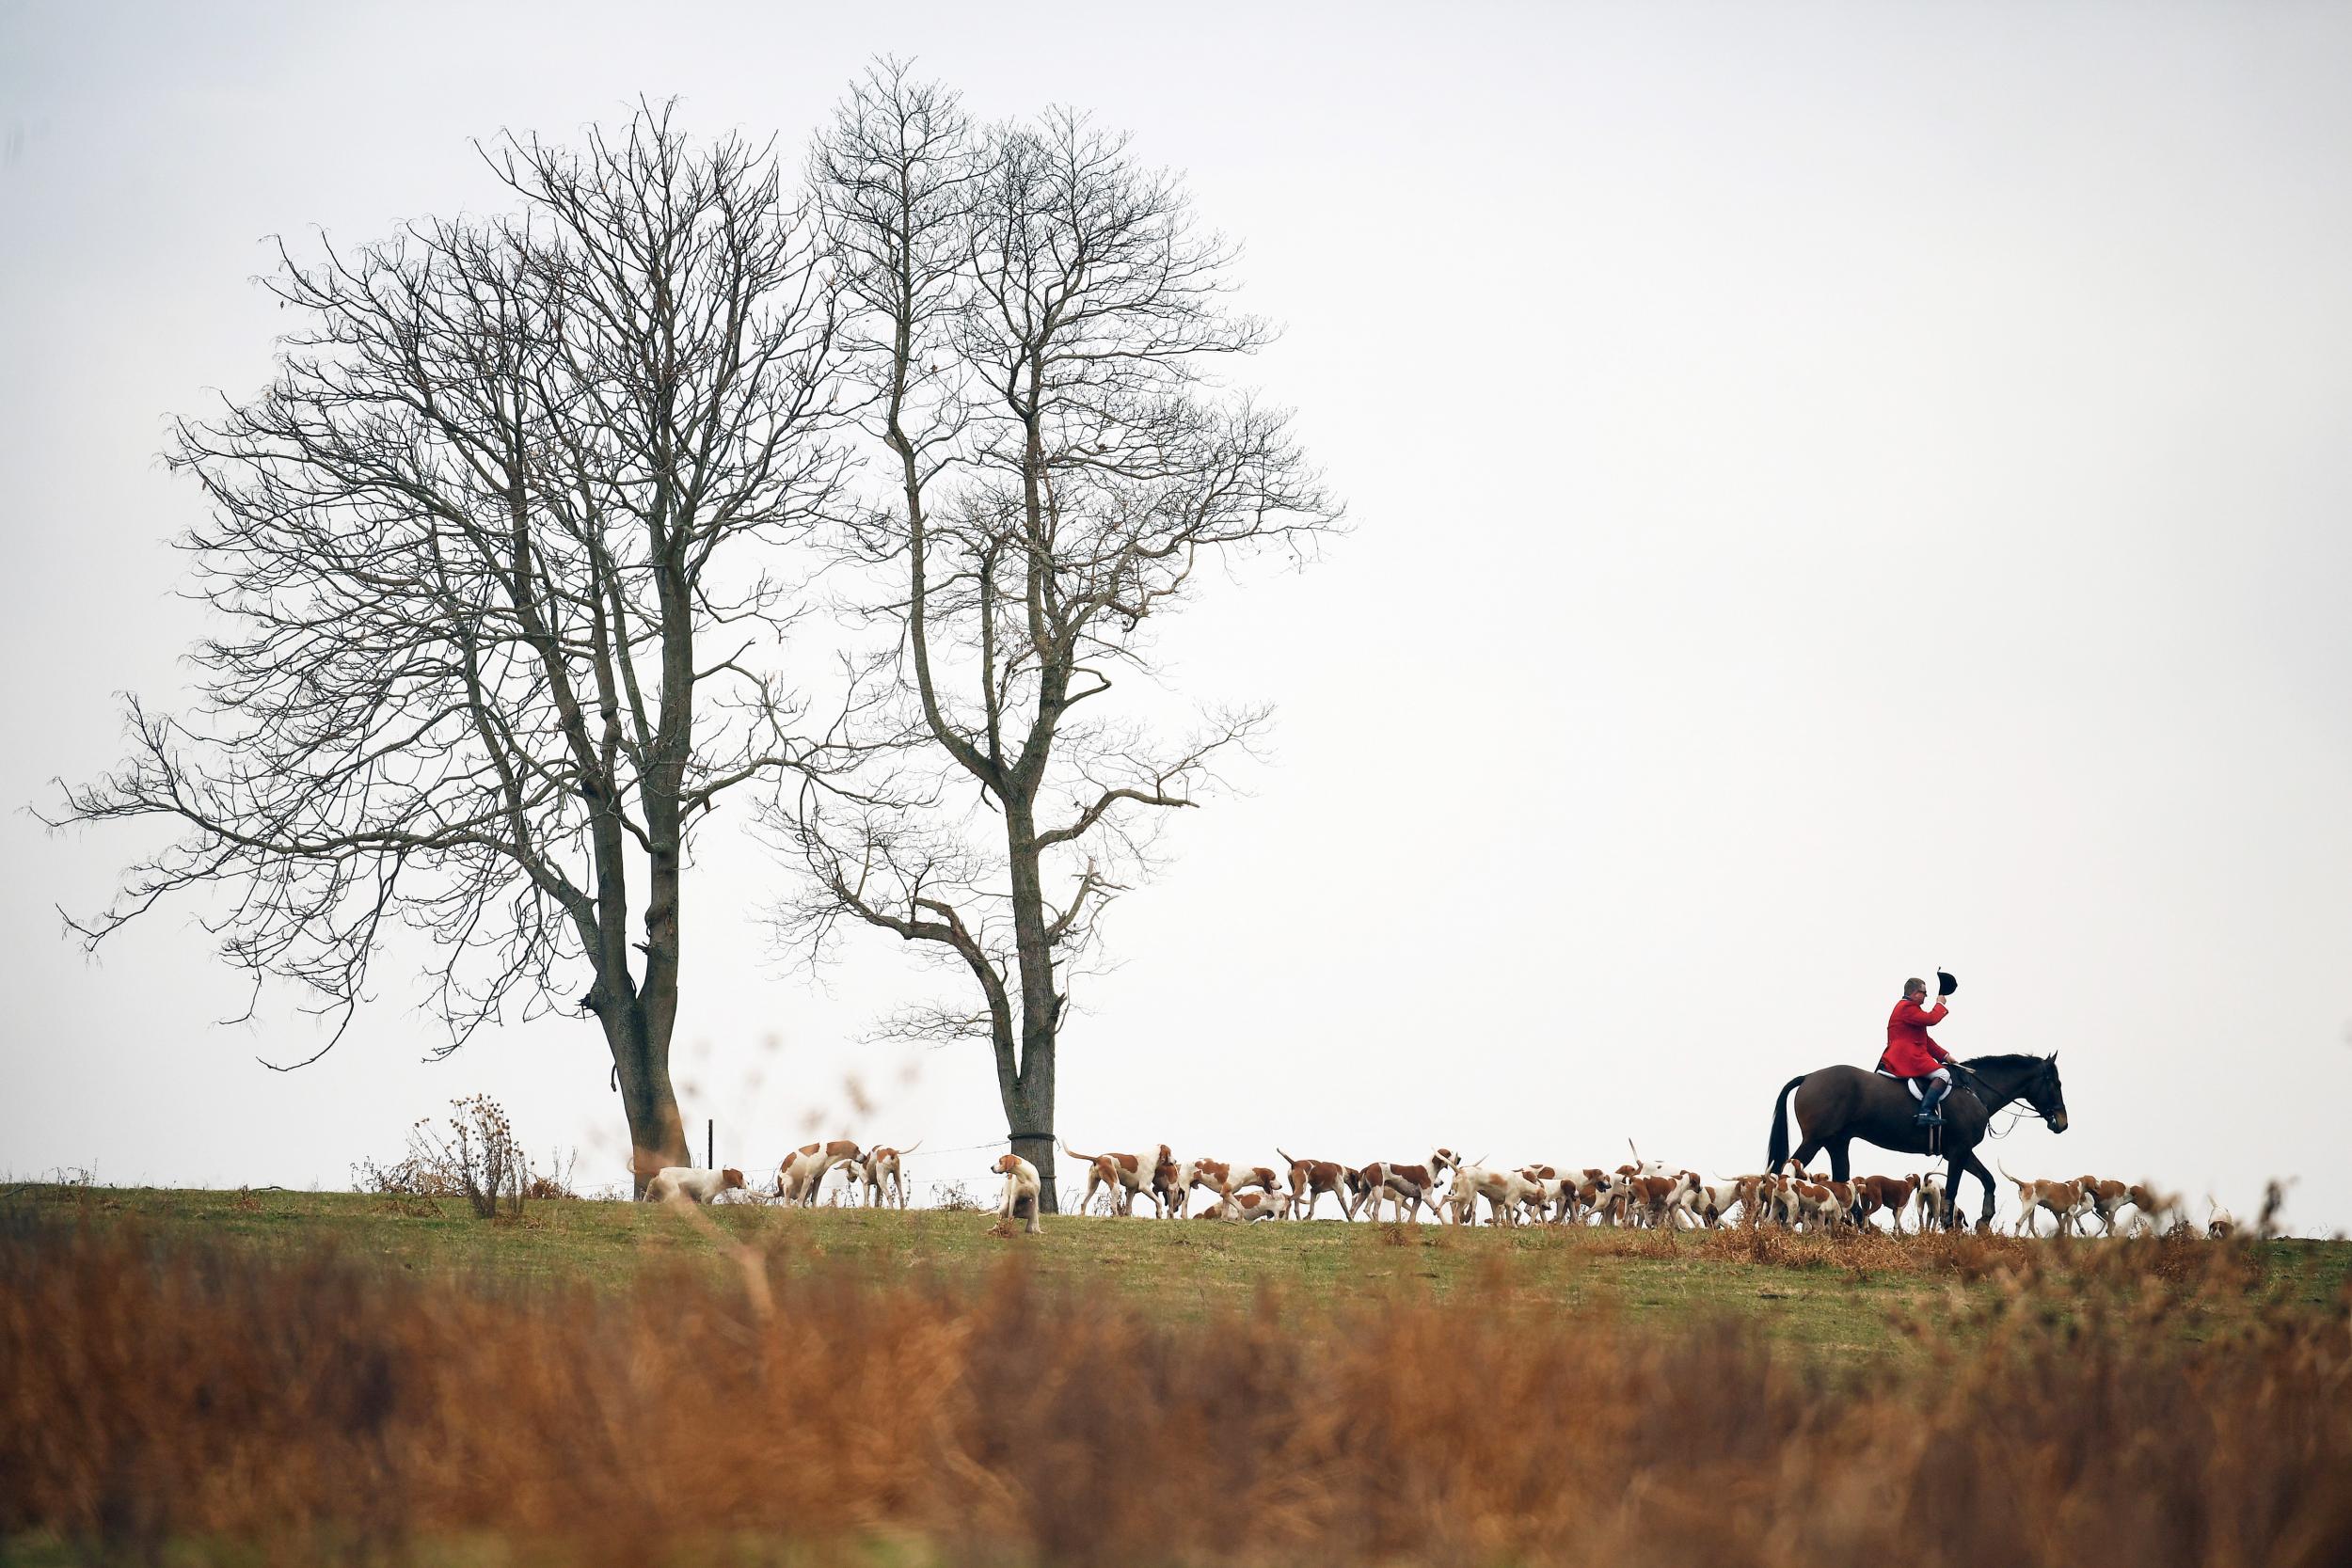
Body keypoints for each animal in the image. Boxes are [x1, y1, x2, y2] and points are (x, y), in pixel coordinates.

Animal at [1769, 1053, 2079, 1241]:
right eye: (2056, 1083)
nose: (2062, 1122)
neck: (1974, 1091)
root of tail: (1809, 1077)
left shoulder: (1962, 1152)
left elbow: (1989, 1180)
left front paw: (1984, 1219)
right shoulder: (1959, 1151)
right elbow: (1952, 1190)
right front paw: (1950, 1226)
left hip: (1837, 1142)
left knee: (1842, 1180)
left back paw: (1858, 1225)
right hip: (1815, 1140)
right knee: (1788, 1172)